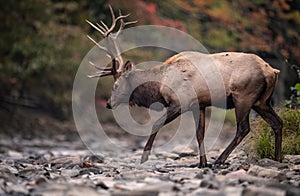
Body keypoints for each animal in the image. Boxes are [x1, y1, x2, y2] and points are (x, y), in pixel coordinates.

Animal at [85, 6, 282, 168]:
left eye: (116, 85)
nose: (108, 103)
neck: (159, 85)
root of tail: (272, 71)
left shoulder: (180, 102)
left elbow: (156, 124)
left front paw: (144, 157)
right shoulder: (199, 104)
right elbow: (200, 133)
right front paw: (202, 163)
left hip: (243, 97)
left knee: (243, 128)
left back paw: (220, 159)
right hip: (262, 101)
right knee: (278, 122)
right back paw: (277, 158)